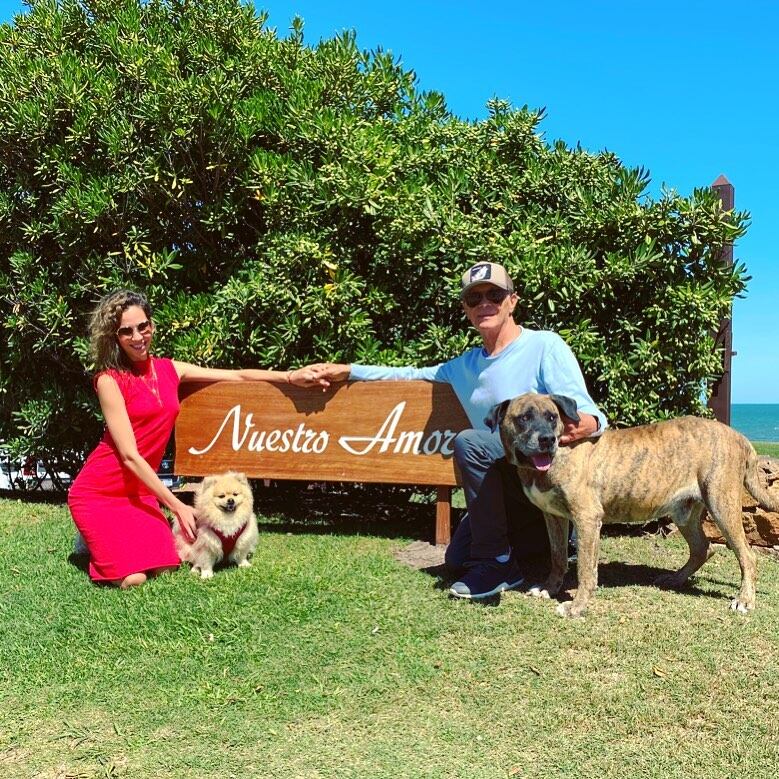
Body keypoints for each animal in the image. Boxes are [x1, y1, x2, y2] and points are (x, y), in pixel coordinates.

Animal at [488, 394, 779, 620]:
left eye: (551, 417)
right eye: (523, 418)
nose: (547, 439)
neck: (559, 454)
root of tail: (740, 437)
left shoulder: (586, 519)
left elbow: (585, 569)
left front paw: (576, 607)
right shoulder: (553, 516)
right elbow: (558, 557)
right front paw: (549, 588)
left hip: (721, 503)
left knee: (747, 556)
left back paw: (744, 600)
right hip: (684, 512)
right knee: (702, 549)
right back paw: (676, 579)